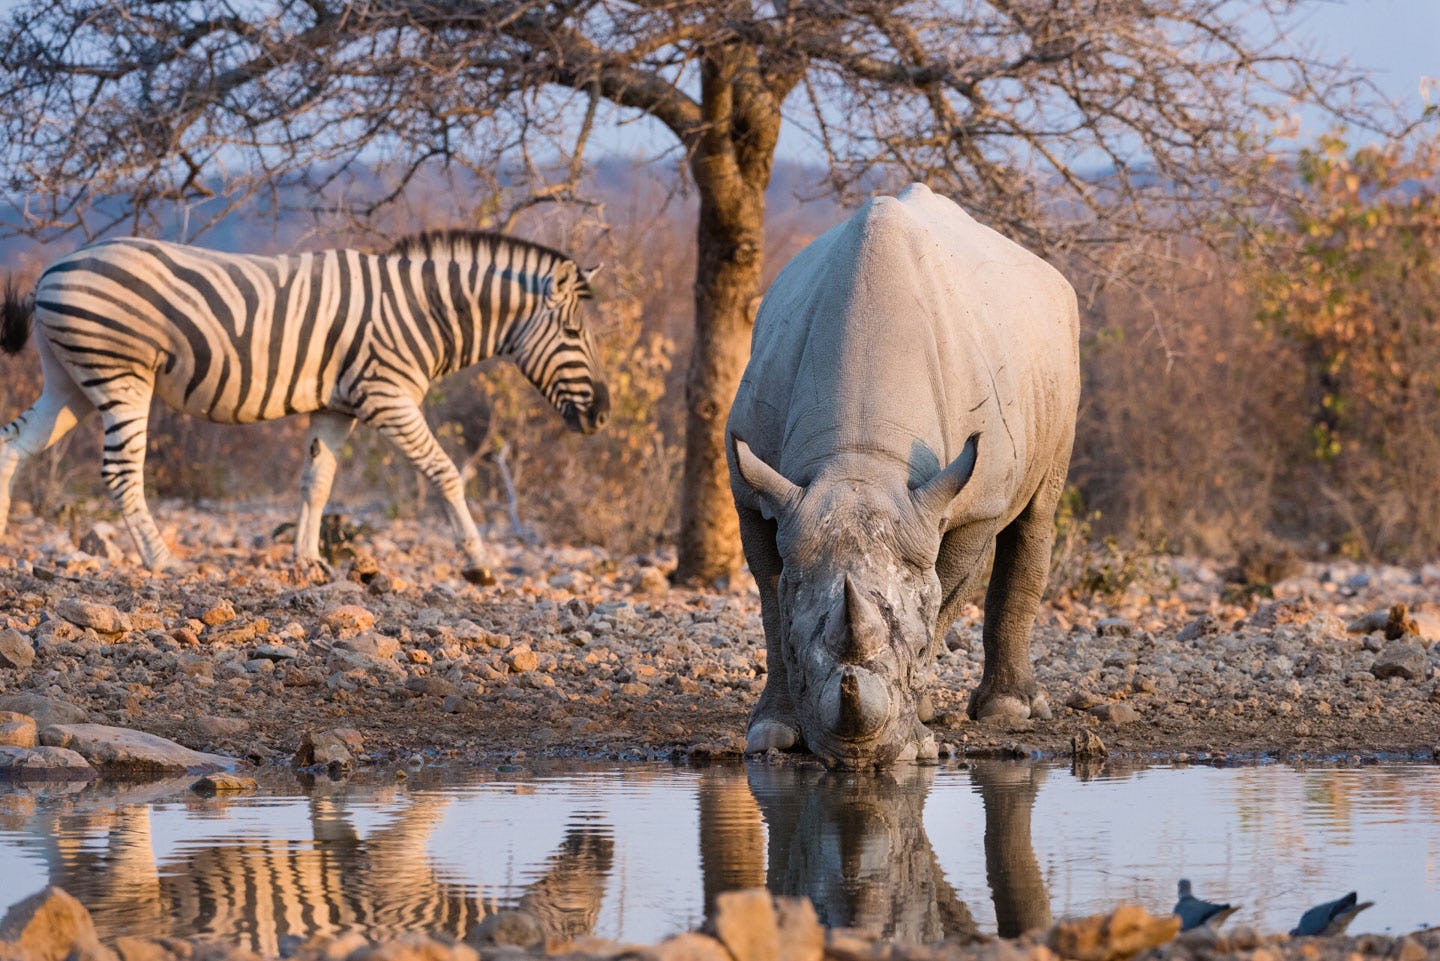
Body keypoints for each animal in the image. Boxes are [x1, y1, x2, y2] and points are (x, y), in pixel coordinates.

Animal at [0, 229, 607, 582]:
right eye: (575, 334)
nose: (602, 416)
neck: (424, 311)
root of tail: (53, 269)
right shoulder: (387, 396)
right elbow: (446, 472)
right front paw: (478, 563)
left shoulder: (337, 407)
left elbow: (316, 482)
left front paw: (307, 561)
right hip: (120, 374)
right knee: (120, 471)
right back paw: (163, 561)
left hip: (70, 382)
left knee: (12, 445)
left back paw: (4, 542)